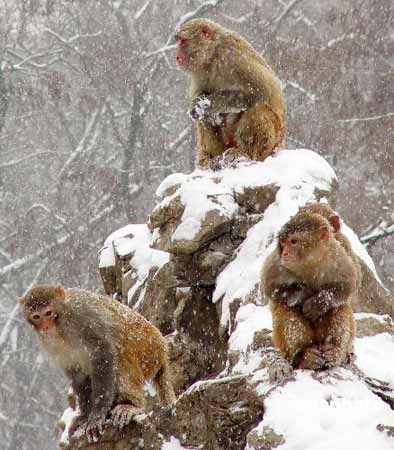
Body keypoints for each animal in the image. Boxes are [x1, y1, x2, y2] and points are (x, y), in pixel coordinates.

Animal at [19, 284, 174, 442]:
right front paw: (85, 415)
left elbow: (103, 353)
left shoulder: (84, 319)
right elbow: (76, 372)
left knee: (119, 356)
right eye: (36, 316)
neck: (61, 325)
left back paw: (130, 405)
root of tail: (163, 349)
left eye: (48, 313)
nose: (45, 327)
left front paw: (96, 416)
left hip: (147, 351)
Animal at [175, 17, 286, 169]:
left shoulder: (234, 55)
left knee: (258, 108)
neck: (213, 56)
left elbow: (263, 91)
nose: (177, 56)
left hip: (274, 140)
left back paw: (247, 155)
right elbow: (199, 96)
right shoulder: (201, 71)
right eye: (179, 41)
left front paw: (210, 104)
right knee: (203, 118)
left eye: (183, 41)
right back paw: (214, 158)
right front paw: (201, 106)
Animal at [262, 209, 358, 370]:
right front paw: (304, 293)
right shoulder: (277, 262)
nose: (285, 253)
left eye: (293, 241)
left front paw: (318, 303)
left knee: (340, 307)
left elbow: (348, 283)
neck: (310, 262)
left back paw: (335, 352)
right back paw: (303, 356)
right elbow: (269, 286)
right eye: (283, 243)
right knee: (285, 308)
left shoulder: (338, 255)